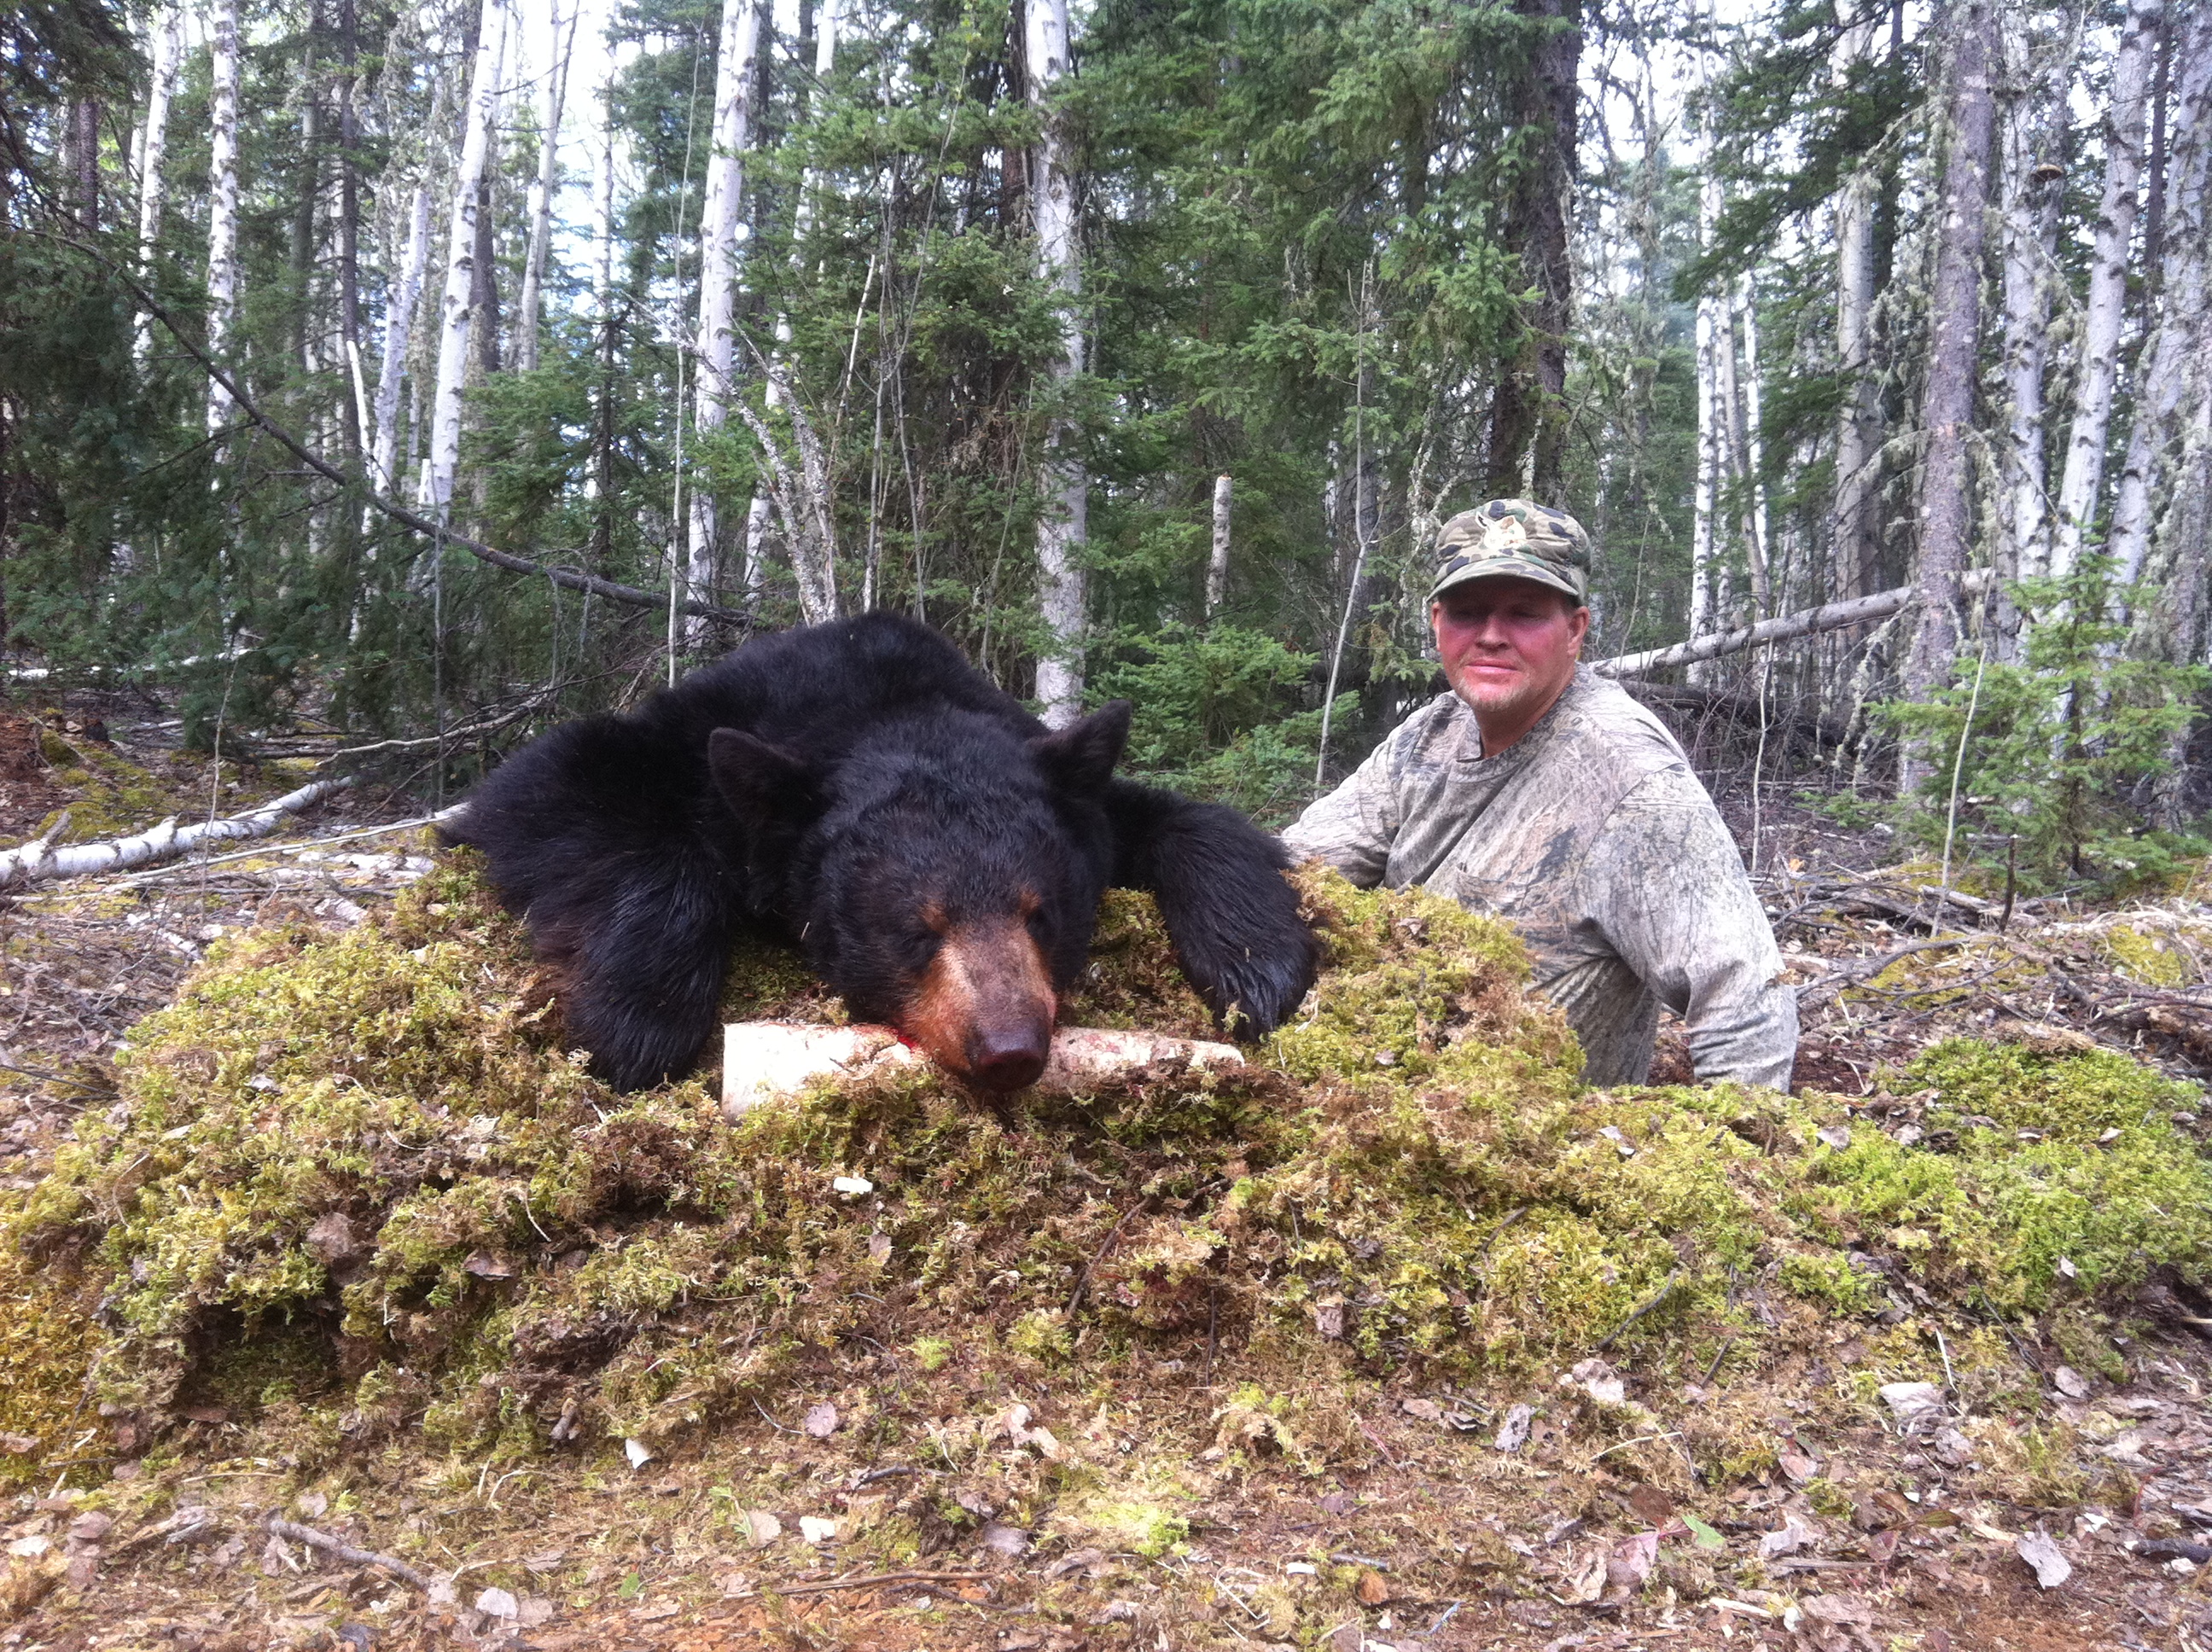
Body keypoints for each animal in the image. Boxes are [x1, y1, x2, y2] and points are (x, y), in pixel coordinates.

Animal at [442, 612, 1322, 1093]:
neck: (882, 702)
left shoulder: (1064, 781)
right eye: (916, 928)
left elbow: (1193, 820)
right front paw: (633, 1019)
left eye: (1042, 915)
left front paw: (1260, 964)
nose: (1010, 1049)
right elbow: (552, 788)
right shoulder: (674, 742)